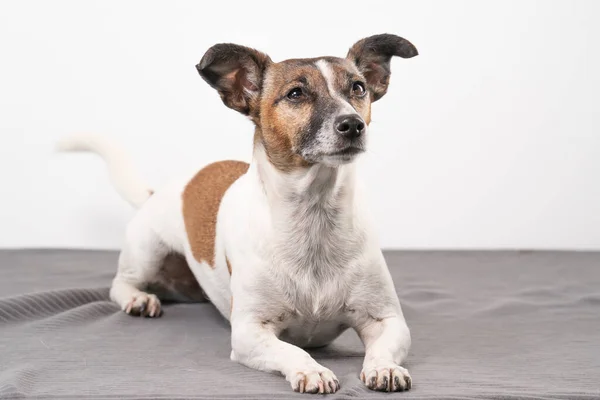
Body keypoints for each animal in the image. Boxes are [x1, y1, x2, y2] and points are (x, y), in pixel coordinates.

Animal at [58, 33, 420, 394]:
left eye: (358, 88)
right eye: (296, 93)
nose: (353, 124)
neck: (313, 215)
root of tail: (156, 193)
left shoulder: (387, 320)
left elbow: (384, 347)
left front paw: (384, 367)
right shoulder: (249, 332)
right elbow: (293, 351)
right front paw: (312, 370)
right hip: (147, 251)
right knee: (120, 283)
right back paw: (138, 298)